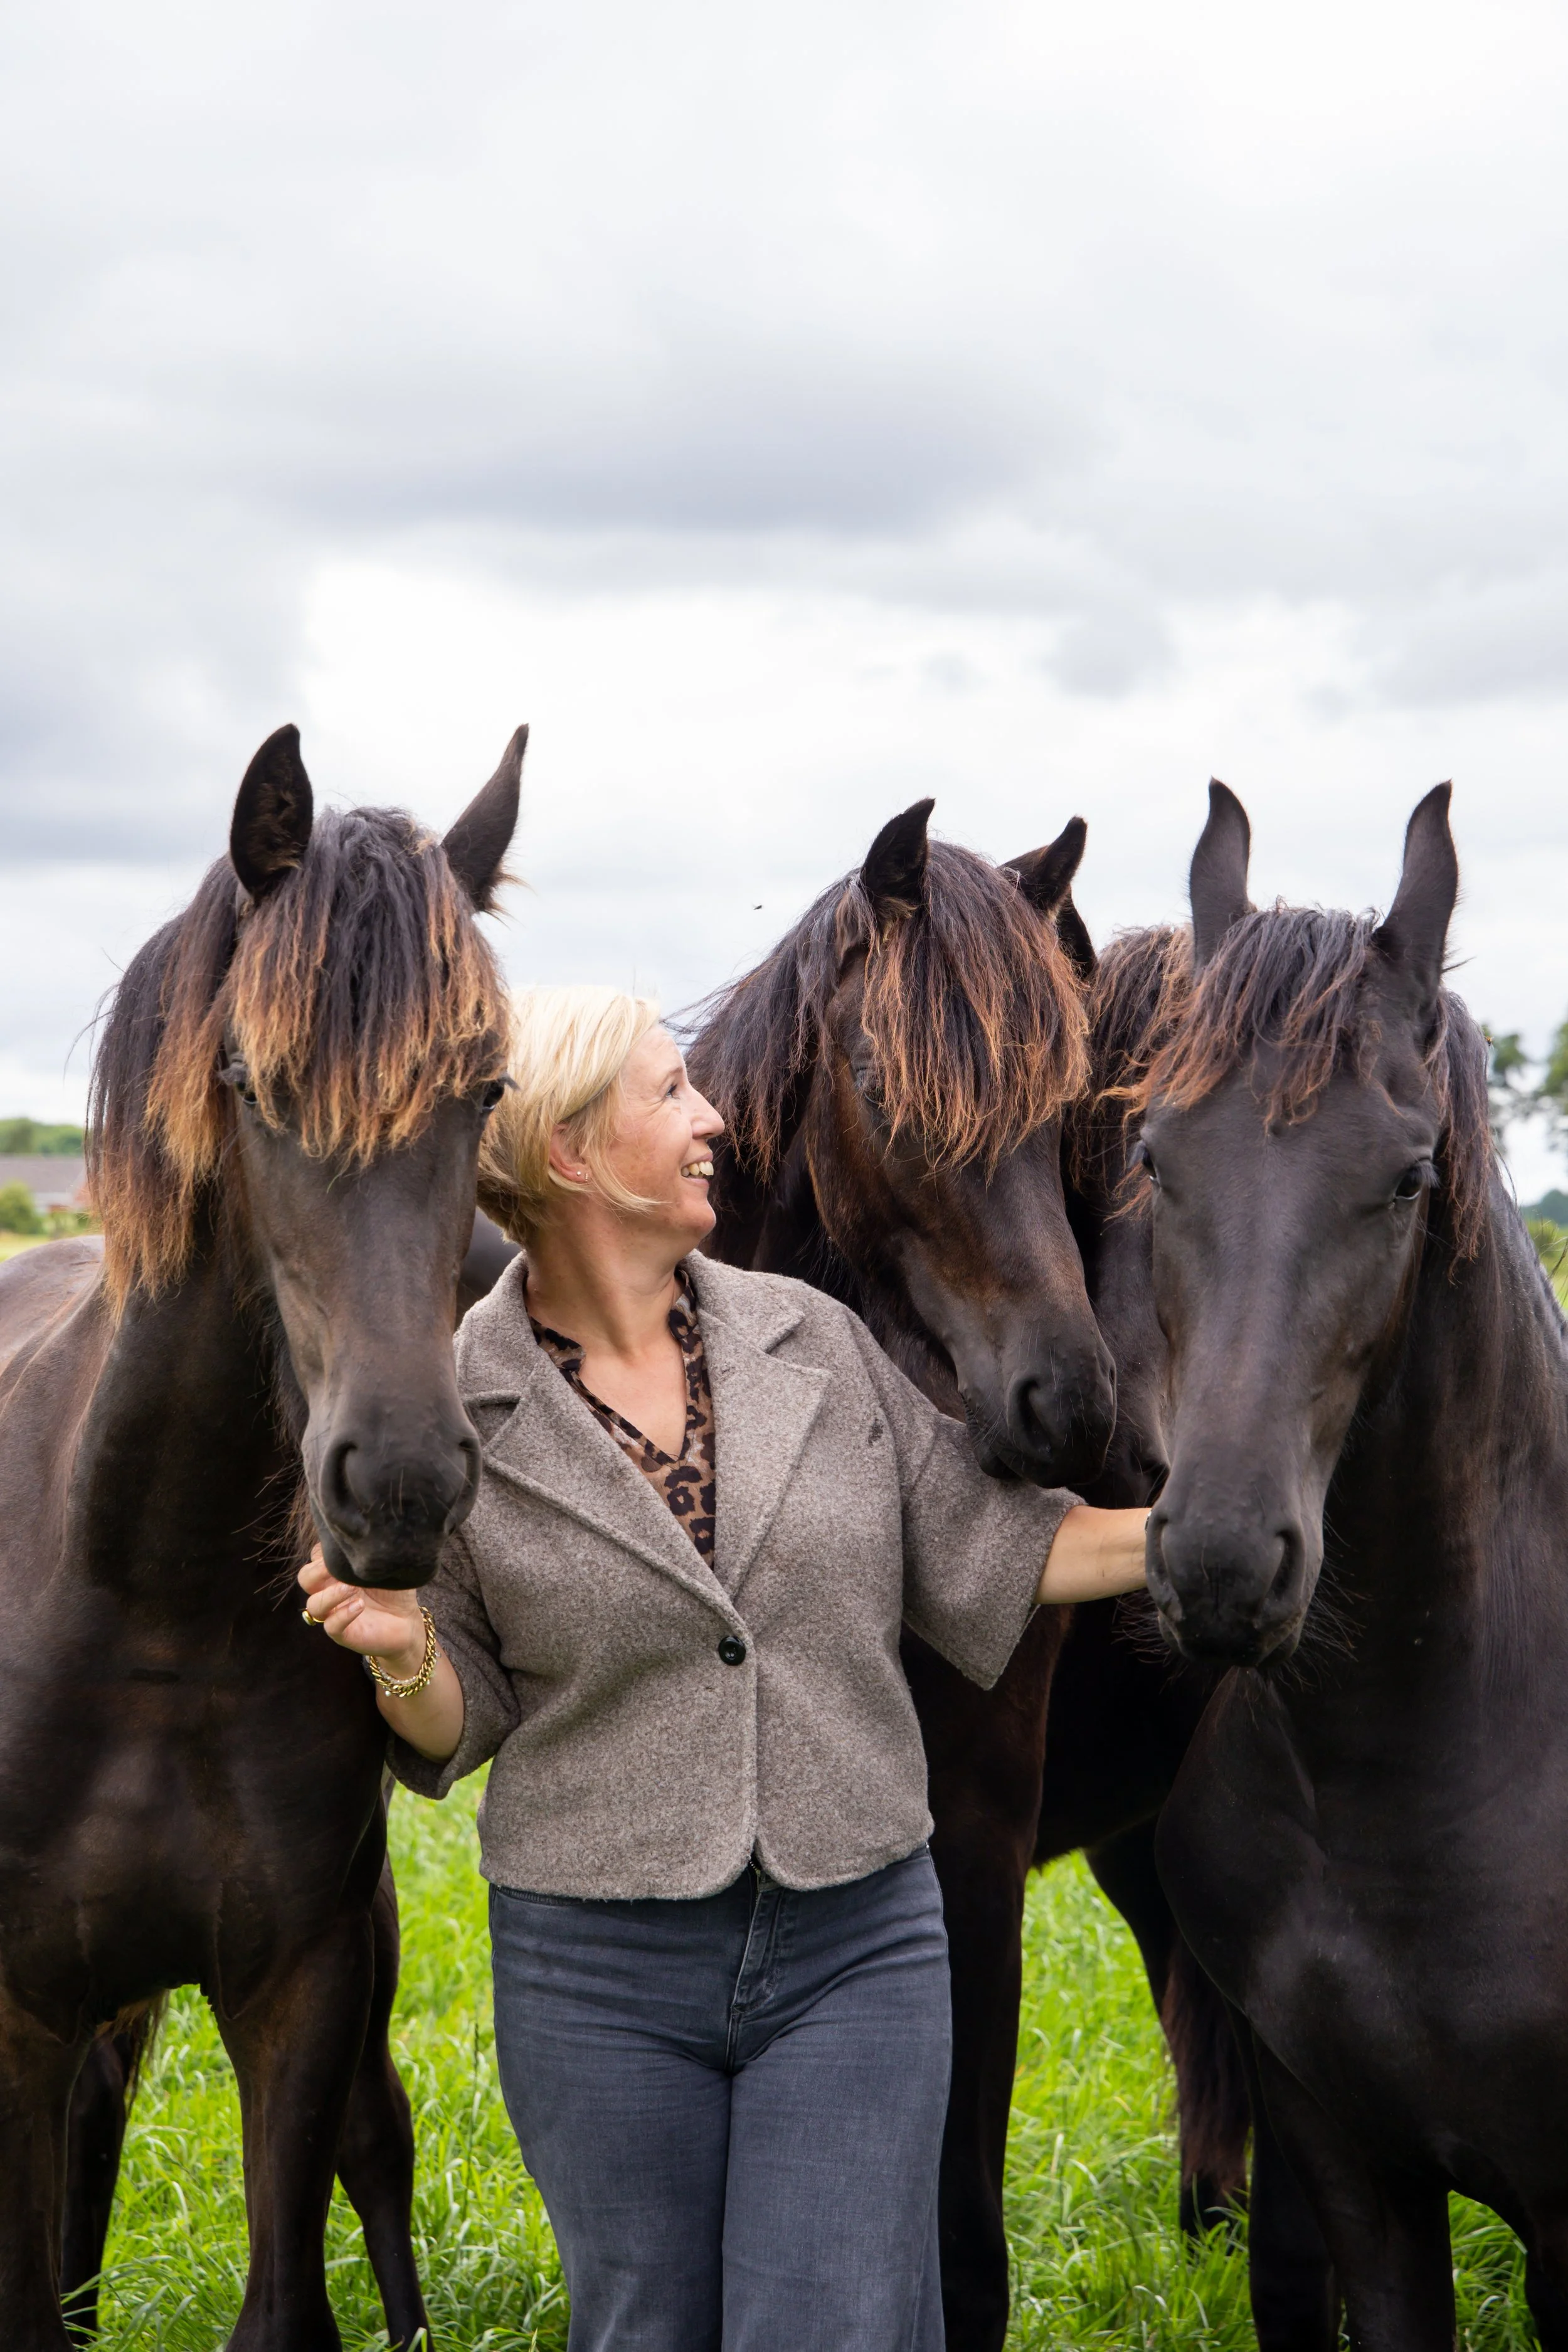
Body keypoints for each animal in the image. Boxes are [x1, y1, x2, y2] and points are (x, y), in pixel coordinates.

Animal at [0, 721, 522, 2351]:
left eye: (487, 1087)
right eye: (247, 1074)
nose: (400, 1483)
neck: (144, 1600)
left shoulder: (303, 1980)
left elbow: (291, 2293)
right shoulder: (17, 2009)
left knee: (378, 2139)